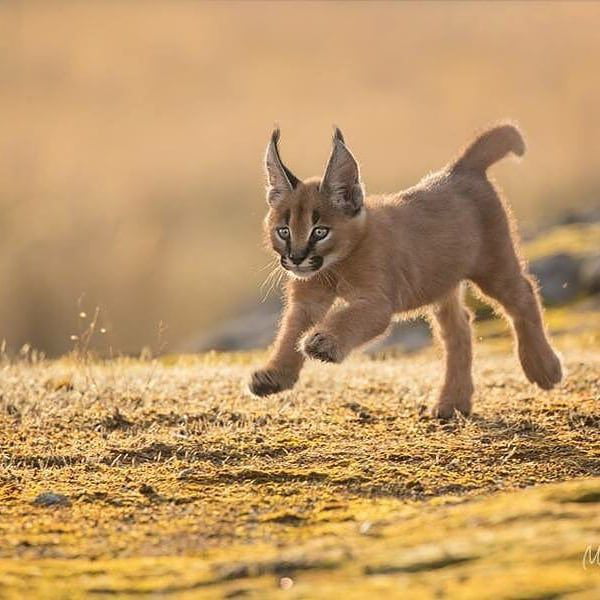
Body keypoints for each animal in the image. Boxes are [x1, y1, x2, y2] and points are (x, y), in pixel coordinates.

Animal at [248, 124, 564, 418]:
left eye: (320, 231)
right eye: (284, 231)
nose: (296, 258)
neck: (335, 266)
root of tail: (459, 169)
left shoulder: (377, 302)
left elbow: (347, 317)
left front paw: (322, 342)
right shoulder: (307, 298)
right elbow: (289, 332)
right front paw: (274, 376)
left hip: (492, 264)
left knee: (523, 293)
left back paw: (543, 367)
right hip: (440, 280)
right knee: (459, 328)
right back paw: (452, 402)